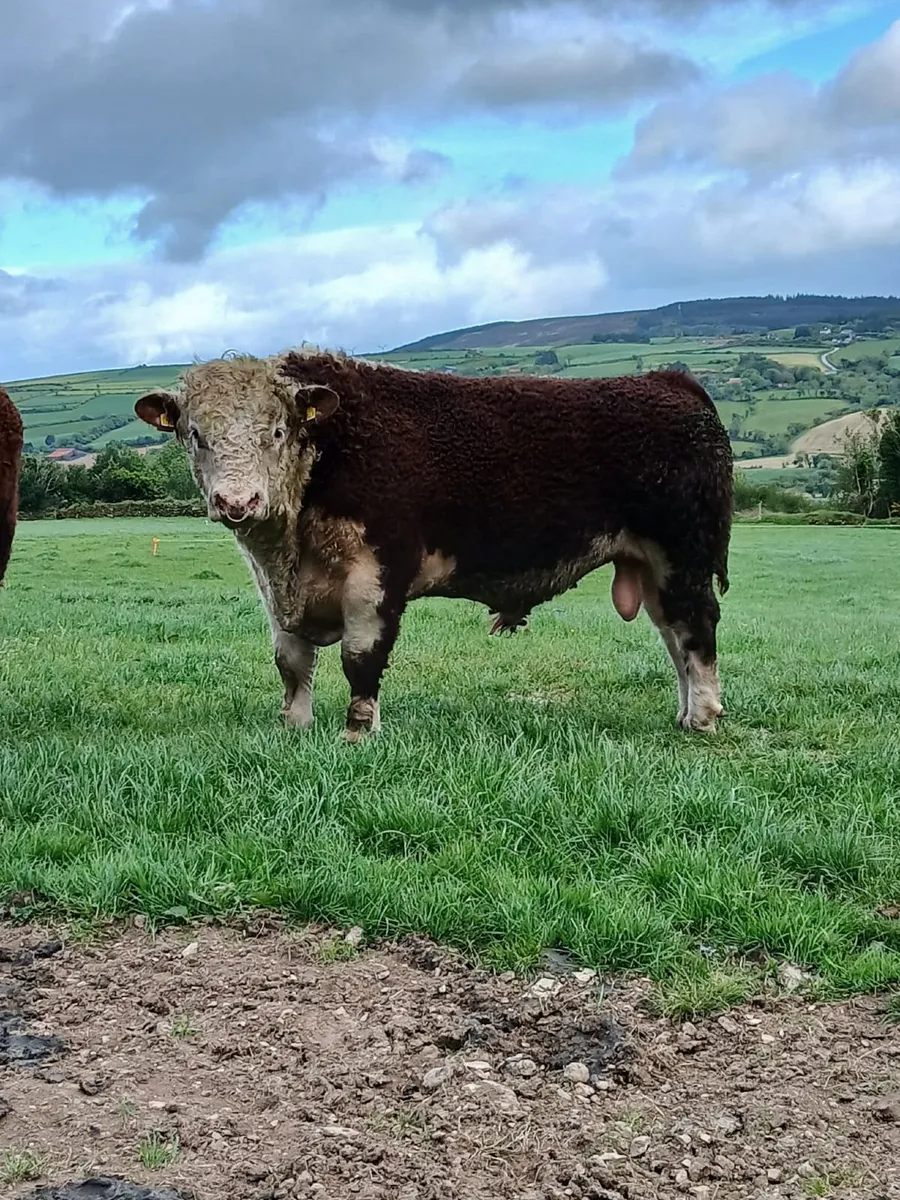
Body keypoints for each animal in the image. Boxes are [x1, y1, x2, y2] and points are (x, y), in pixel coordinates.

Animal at [135, 351, 733, 741]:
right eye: (195, 435)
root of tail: (669, 381)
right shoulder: (276, 589)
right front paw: (295, 726)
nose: (237, 501)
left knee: (696, 628)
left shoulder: (376, 574)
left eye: (278, 432)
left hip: (683, 554)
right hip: (650, 564)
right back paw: (685, 714)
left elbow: (361, 658)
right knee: (672, 633)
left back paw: (703, 716)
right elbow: (291, 662)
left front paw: (358, 733)